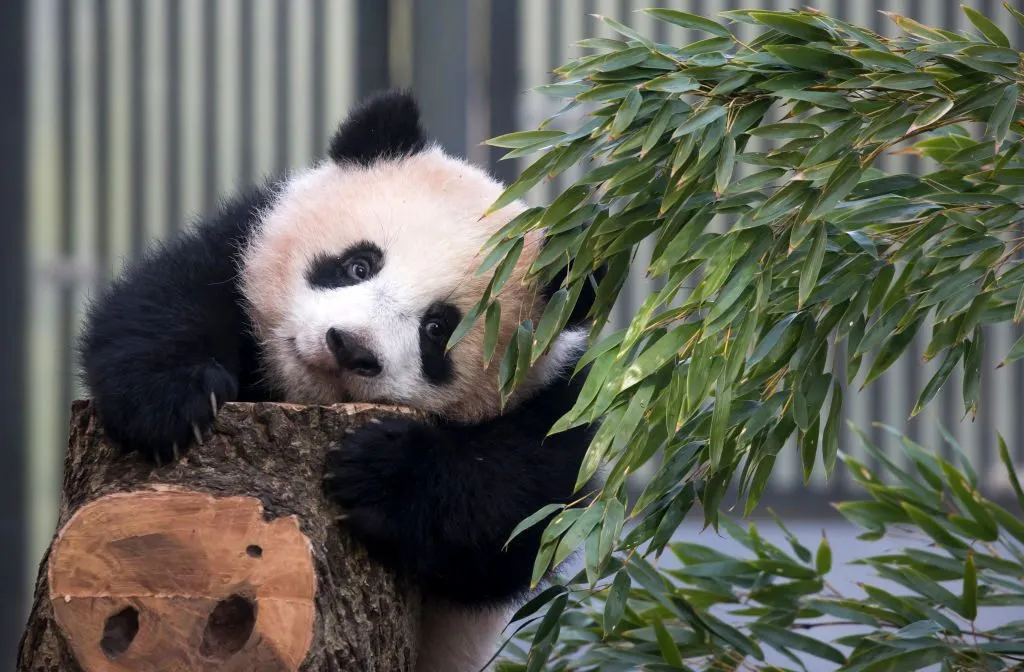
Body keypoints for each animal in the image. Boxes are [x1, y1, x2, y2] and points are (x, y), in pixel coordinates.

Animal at [79, 90, 601, 672]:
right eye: (358, 265)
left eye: (437, 329)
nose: (350, 347)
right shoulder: (241, 242)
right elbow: (167, 299)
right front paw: (172, 406)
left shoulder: (559, 401)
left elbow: (520, 511)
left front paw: (383, 470)